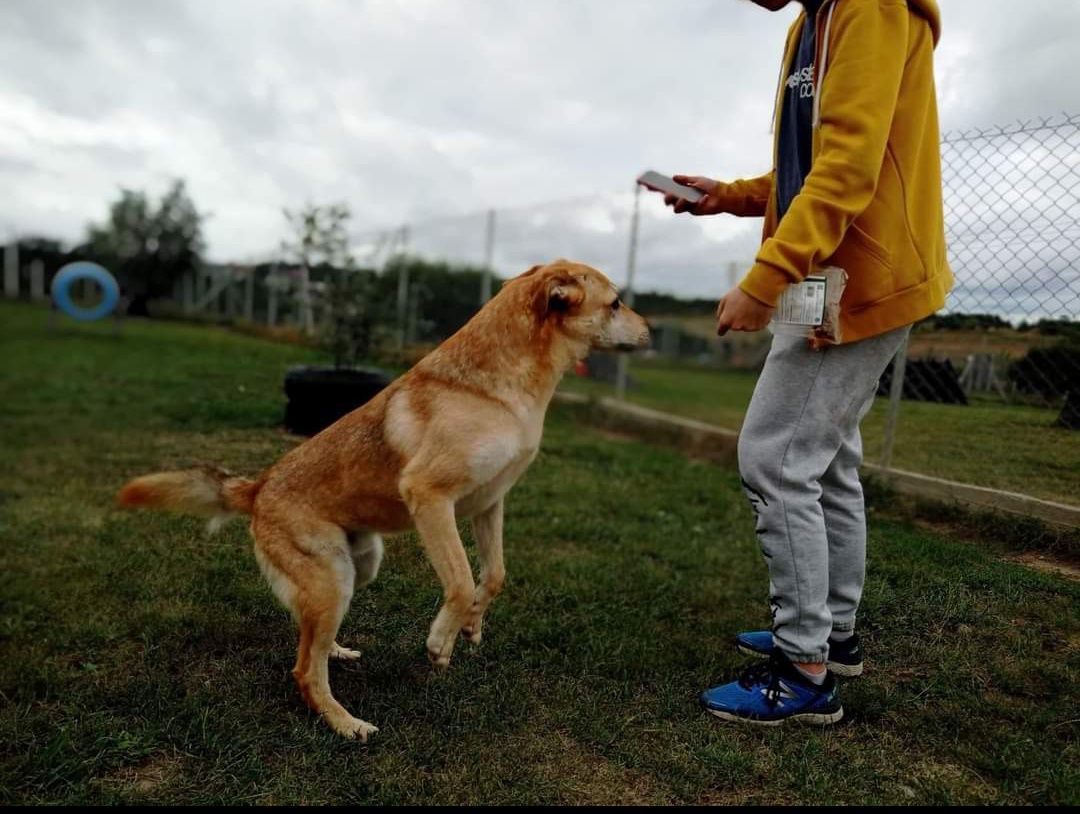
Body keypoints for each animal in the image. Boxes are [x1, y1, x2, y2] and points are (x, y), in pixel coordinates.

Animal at [118, 258, 648, 734]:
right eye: (616, 302)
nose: (649, 332)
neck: (496, 389)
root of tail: (258, 486)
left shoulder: (489, 503)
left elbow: (494, 576)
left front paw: (472, 625)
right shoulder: (431, 498)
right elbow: (459, 581)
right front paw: (441, 642)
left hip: (357, 568)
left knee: (309, 637)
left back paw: (335, 649)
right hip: (334, 577)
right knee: (304, 670)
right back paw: (344, 723)